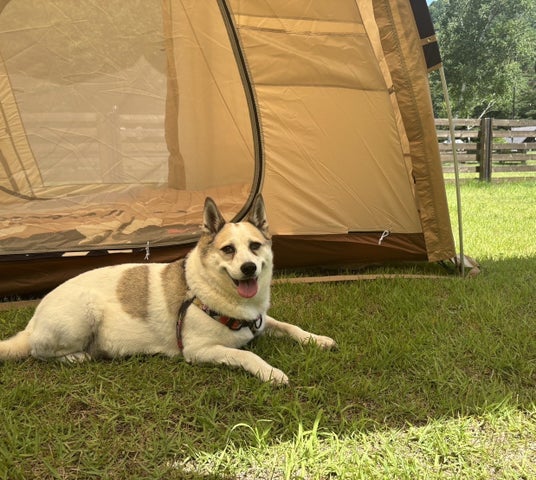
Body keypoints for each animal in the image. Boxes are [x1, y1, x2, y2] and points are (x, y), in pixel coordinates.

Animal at [0, 196, 335, 384]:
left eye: (255, 246)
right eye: (228, 250)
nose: (249, 268)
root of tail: (32, 322)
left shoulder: (260, 321)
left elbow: (290, 326)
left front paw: (317, 339)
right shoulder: (200, 351)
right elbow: (245, 356)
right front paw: (271, 372)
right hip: (81, 315)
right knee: (39, 352)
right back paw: (77, 357)